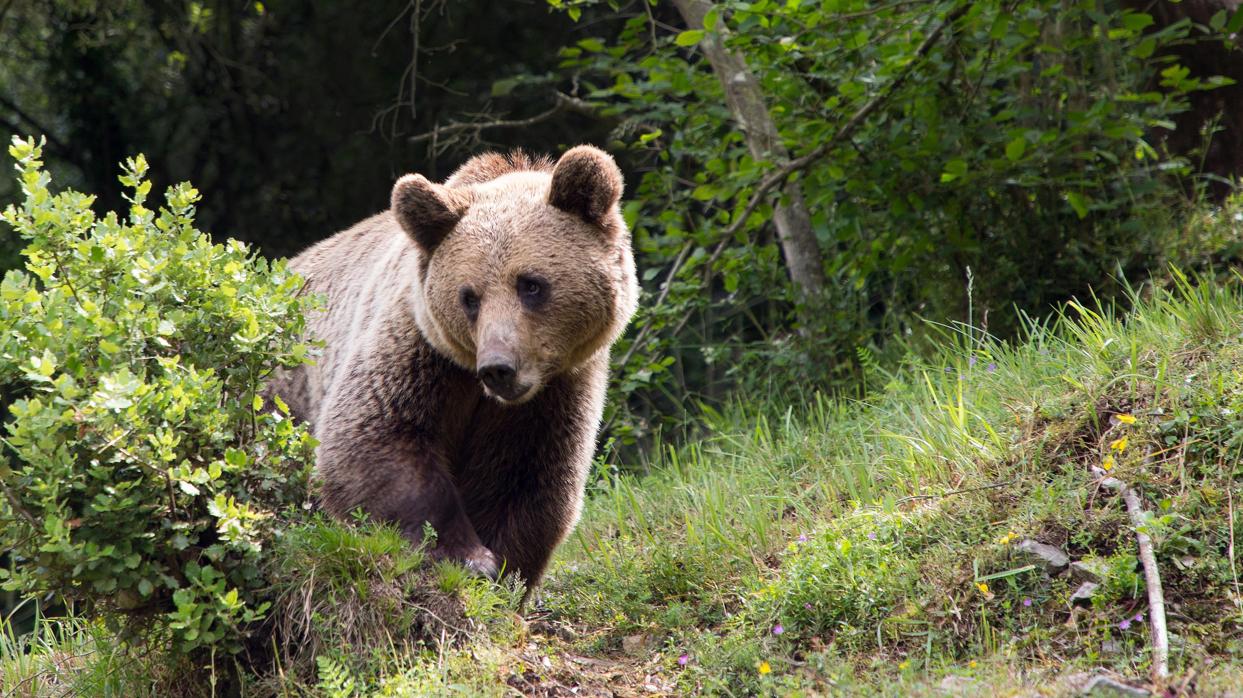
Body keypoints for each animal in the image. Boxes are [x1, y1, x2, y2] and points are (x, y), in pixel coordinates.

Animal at [270, 145, 641, 586]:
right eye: (469, 297)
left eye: (531, 284)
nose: (498, 368)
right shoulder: (419, 351)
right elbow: (375, 438)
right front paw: (467, 555)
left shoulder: (555, 393)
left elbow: (526, 478)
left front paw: (504, 568)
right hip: (284, 390)